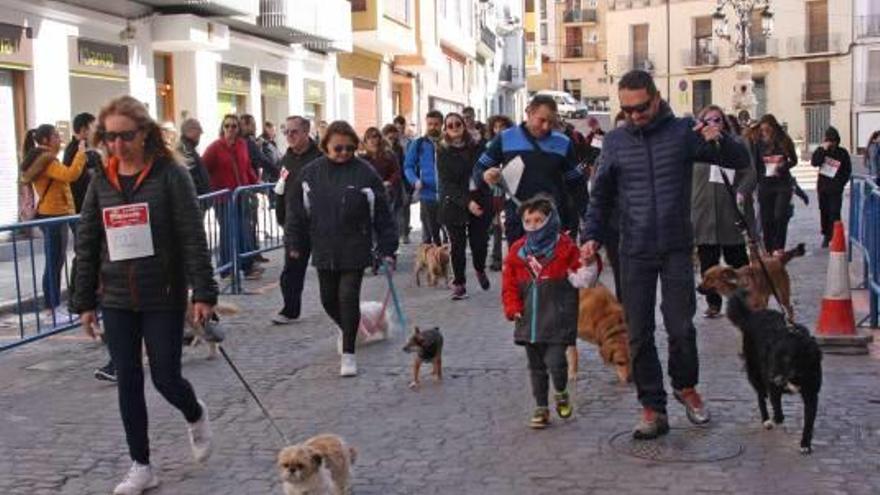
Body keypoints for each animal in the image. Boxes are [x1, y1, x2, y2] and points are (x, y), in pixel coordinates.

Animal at [724, 290, 820, 458]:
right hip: (755, 372)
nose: (772, 378)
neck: (797, 377)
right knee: (760, 396)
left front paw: (805, 445)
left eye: (789, 359)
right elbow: (778, 411)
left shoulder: (811, 394)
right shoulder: (773, 385)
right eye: (775, 358)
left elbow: (808, 422)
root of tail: (752, 315)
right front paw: (775, 419)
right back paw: (767, 420)